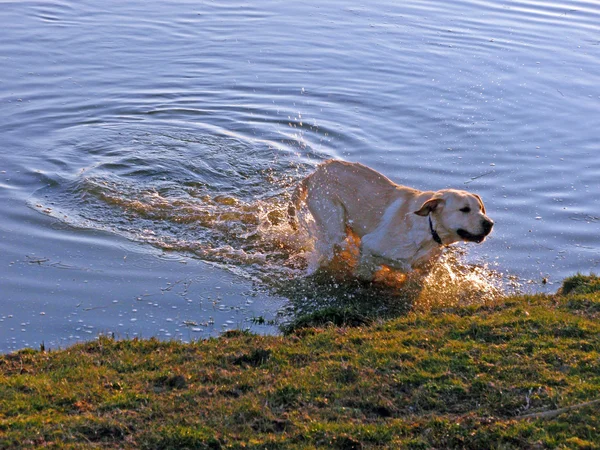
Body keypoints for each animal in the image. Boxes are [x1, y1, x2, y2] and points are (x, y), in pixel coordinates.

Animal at [290, 160, 492, 280]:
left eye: (480, 209)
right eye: (464, 209)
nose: (490, 224)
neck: (428, 231)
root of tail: (314, 173)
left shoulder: (423, 271)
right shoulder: (369, 246)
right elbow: (364, 274)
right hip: (333, 224)